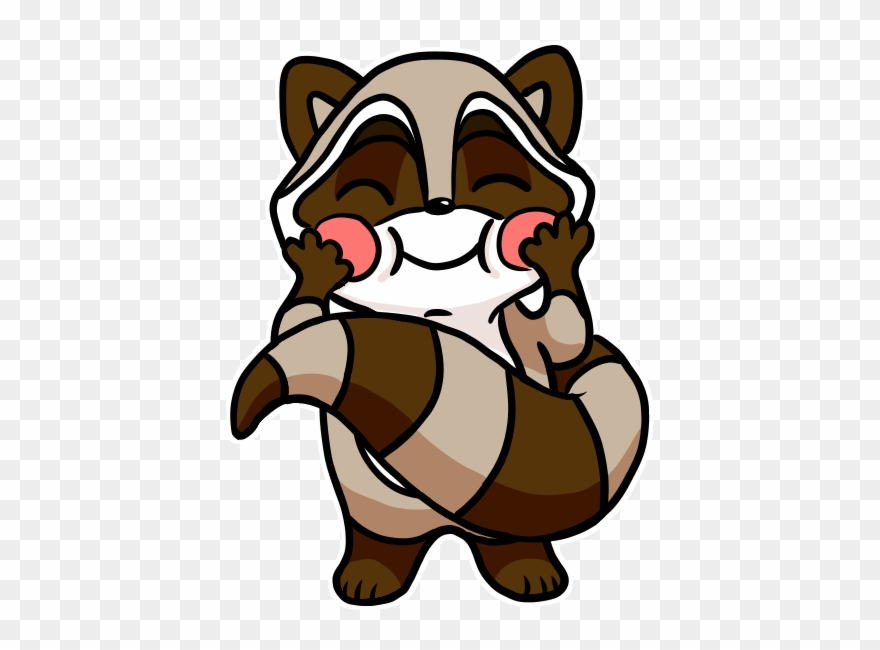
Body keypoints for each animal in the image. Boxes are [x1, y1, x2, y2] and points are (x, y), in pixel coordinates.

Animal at [231, 47, 649, 604]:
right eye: (373, 186)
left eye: (495, 179)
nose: (439, 206)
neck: (441, 311)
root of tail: (445, 525)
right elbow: (294, 325)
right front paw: (316, 270)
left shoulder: (525, 330)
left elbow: (567, 337)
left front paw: (559, 256)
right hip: (375, 506)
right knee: (378, 533)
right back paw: (373, 570)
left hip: (500, 520)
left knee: (510, 538)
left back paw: (525, 565)